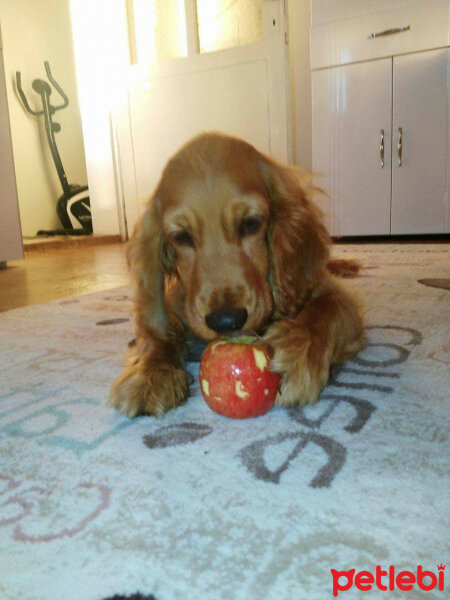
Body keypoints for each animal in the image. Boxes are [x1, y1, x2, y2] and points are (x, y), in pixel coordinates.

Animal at [109, 132, 366, 418]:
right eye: (181, 236)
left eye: (250, 223)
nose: (226, 320)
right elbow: (158, 333)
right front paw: (151, 373)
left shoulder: (335, 297)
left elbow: (327, 308)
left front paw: (298, 351)